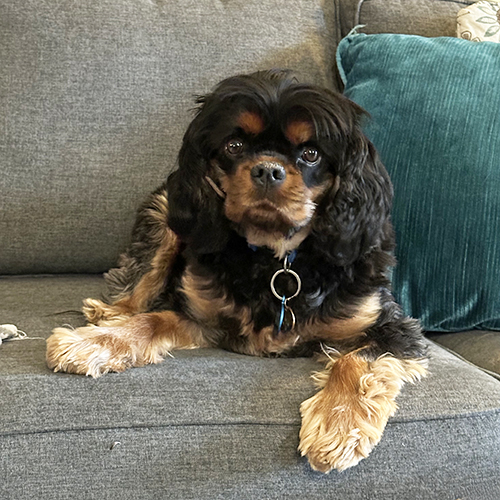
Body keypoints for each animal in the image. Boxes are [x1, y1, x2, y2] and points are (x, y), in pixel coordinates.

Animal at [46, 70, 428, 473]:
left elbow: (354, 362)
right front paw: (94, 342)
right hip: (167, 217)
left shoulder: (394, 329)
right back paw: (107, 313)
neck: (277, 259)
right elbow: (150, 320)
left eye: (311, 153)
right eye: (234, 146)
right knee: (141, 281)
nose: (267, 170)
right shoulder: (203, 318)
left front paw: (338, 424)